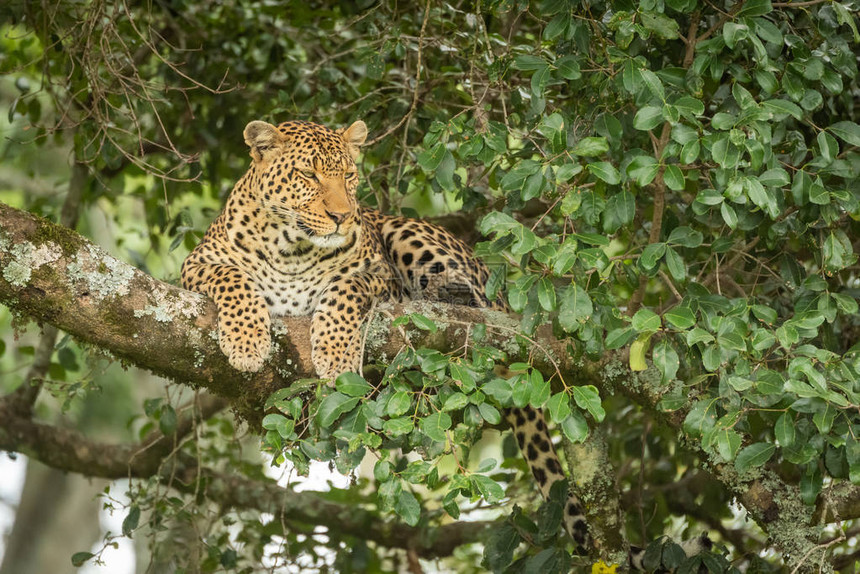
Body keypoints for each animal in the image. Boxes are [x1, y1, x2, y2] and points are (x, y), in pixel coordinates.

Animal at [180, 118, 704, 572]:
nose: (342, 216)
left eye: (348, 175)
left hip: (410, 235)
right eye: (308, 175)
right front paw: (247, 342)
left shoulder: (378, 276)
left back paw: (443, 296)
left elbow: (344, 290)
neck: (292, 248)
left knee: (466, 299)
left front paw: (335, 355)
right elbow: (233, 279)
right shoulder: (195, 265)